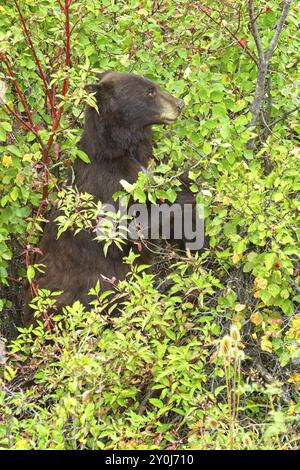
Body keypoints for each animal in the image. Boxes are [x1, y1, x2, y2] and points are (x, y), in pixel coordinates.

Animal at [23, 71, 189, 324]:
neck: (120, 149)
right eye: (150, 91)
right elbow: (129, 231)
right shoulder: (111, 187)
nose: (180, 104)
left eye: (154, 86)